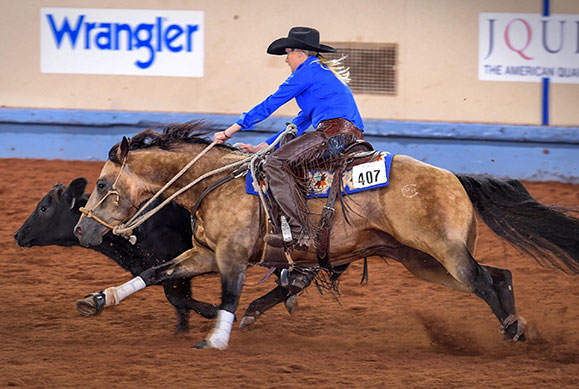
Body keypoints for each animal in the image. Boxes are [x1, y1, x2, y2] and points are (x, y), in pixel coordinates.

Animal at [72, 121, 579, 348]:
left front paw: (216, 340)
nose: (80, 230)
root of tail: (454, 177)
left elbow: (229, 296)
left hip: (445, 254)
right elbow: (157, 272)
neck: (217, 182)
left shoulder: (232, 257)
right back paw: (515, 327)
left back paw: (512, 330)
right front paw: (98, 300)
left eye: (102, 184)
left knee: (485, 281)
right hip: (424, 262)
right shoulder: (204, 254)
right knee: (499, 274)